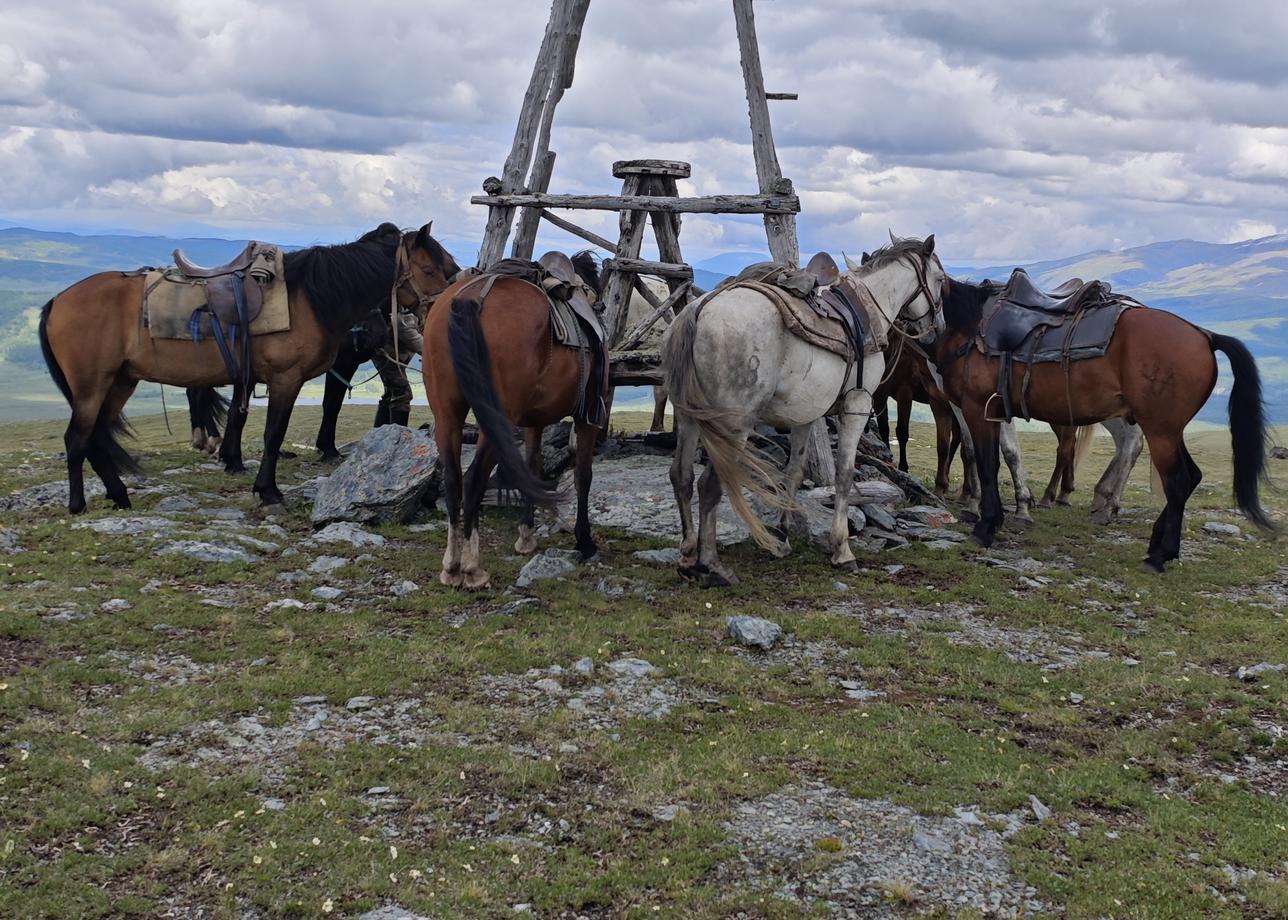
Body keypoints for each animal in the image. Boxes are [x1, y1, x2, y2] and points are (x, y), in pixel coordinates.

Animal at [41, 219, 458, 512]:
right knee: (77, 438)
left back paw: (119, 495)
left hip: (120, 382)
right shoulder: (286, 379)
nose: (442, 310)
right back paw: (78, 504)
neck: (311, 298)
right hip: (93, 385)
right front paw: (268, 491)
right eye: (430, 270)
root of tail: (59, 300)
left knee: (96, 437)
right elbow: (274, 433)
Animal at [422, 248, 602, 587]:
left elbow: (532, 468)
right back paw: (472, 569)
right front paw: (585, 541)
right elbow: (583, 475)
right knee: (473, 478)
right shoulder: (591, 415)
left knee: (453, 479)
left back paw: (451, 566)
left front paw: (526, 536)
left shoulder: (533, 420)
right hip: (498, 418)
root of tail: (471, 298)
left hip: (448, 414)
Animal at [664, 233, 947, 584]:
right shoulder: (857, 405)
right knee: (709, 485)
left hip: (688, 416)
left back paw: (688, 557)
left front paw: (784, 536)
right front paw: (842, 550)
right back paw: (713, 565)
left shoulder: (804, 415)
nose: (938, 330)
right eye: (940, 280)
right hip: (733, 426)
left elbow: (794, 472)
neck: (870, 309)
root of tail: (700, 308)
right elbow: (843, 475)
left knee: (682, 476)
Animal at [937, 275, 1277, 569]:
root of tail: (1205, 335)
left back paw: (1156, 553)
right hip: (1167, 428)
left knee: (1175, 477)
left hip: (1158, 430)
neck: (967, 328)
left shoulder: (975, 407)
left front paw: (986, 523)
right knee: (1189, 475)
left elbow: (987, 460)